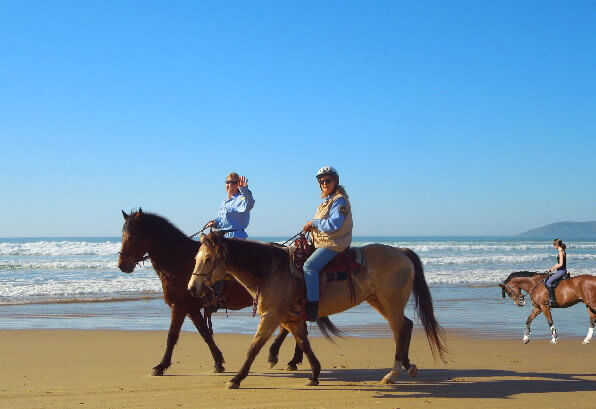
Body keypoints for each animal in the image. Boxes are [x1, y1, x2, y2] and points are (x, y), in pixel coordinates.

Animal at [117, 210, 302, 376]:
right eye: (122, 235)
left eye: (131, 237)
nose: (122, 265)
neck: (180, 262)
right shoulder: (191, 309)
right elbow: (205, 333)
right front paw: (218, 362)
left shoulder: (179, 306)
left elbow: (172, 336)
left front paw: (161, 366)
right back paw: (293, 359)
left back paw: (281, 356)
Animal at [189, 231, 444, 388]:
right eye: (196, 258)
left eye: (208, 258)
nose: (192, 288)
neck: (270, 269)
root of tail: (402, 252)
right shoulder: (290, 319)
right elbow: (304, 343)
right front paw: (314, 374)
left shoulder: (271, 316)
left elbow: (254, 347)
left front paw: (236, 379)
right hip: (380, 301)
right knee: (403, 328)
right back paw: (405, 367)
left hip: (391, 302)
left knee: (400, 329)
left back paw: (393, 372)